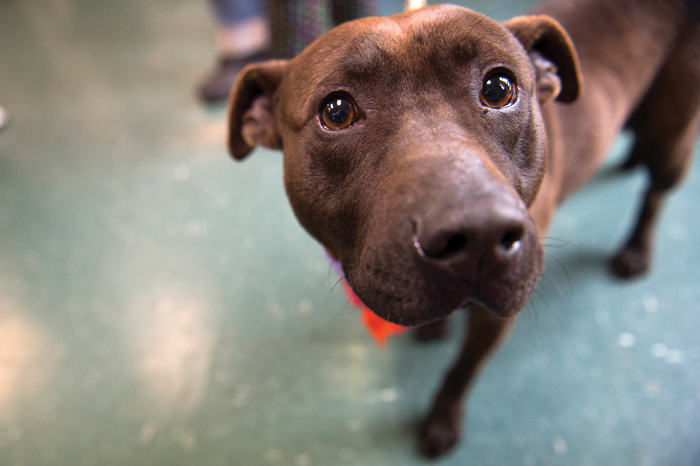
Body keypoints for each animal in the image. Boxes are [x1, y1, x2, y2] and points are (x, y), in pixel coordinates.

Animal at [226, 0, 700, 457]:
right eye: (337, 111)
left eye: (499, 88)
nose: (480, 235)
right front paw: (434, 328)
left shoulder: (495, 319)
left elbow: (461, 371)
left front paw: (442, 419)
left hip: (674, 139)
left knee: (655, 196)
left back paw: (636, 249)